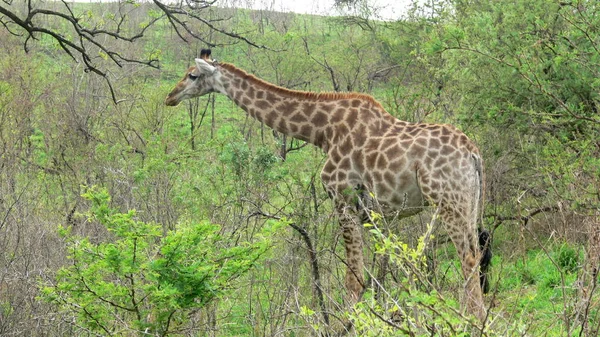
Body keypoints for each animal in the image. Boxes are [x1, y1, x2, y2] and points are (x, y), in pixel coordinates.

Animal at [165, 52, 492, 320]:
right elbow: (374, 271)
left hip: (448, 201)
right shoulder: (372, 213)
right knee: (477, 256)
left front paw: (348, 323)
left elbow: (354, 279)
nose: (170, 96)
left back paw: (471, 320)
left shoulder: (343, 198)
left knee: (468, 259)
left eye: (192, 75)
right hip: (468, 203)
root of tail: (473, 153)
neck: (322, 131)